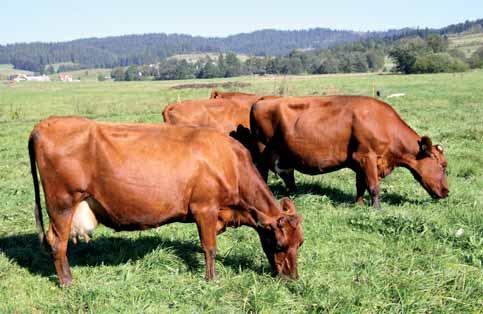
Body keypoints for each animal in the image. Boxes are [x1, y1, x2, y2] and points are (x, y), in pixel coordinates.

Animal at [27, 116, 302, 286]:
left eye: (300, 243)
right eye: (279, 244)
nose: (292, 278)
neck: (230, 163)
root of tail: (45, 124)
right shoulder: (205, 209)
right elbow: (209, 248)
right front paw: (211, 279)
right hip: (61, 203)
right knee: (58, 242)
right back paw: (67, 282)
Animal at [251, 95, 452, 209]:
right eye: (443, 165)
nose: (447, 191)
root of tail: (262, 100)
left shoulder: (360, 162)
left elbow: (360, 185)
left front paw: (359, 204)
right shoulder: (366, 157)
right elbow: (373, 186)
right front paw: (377, 209)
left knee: (288, 173)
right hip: (262, 151)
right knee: (262, 172)